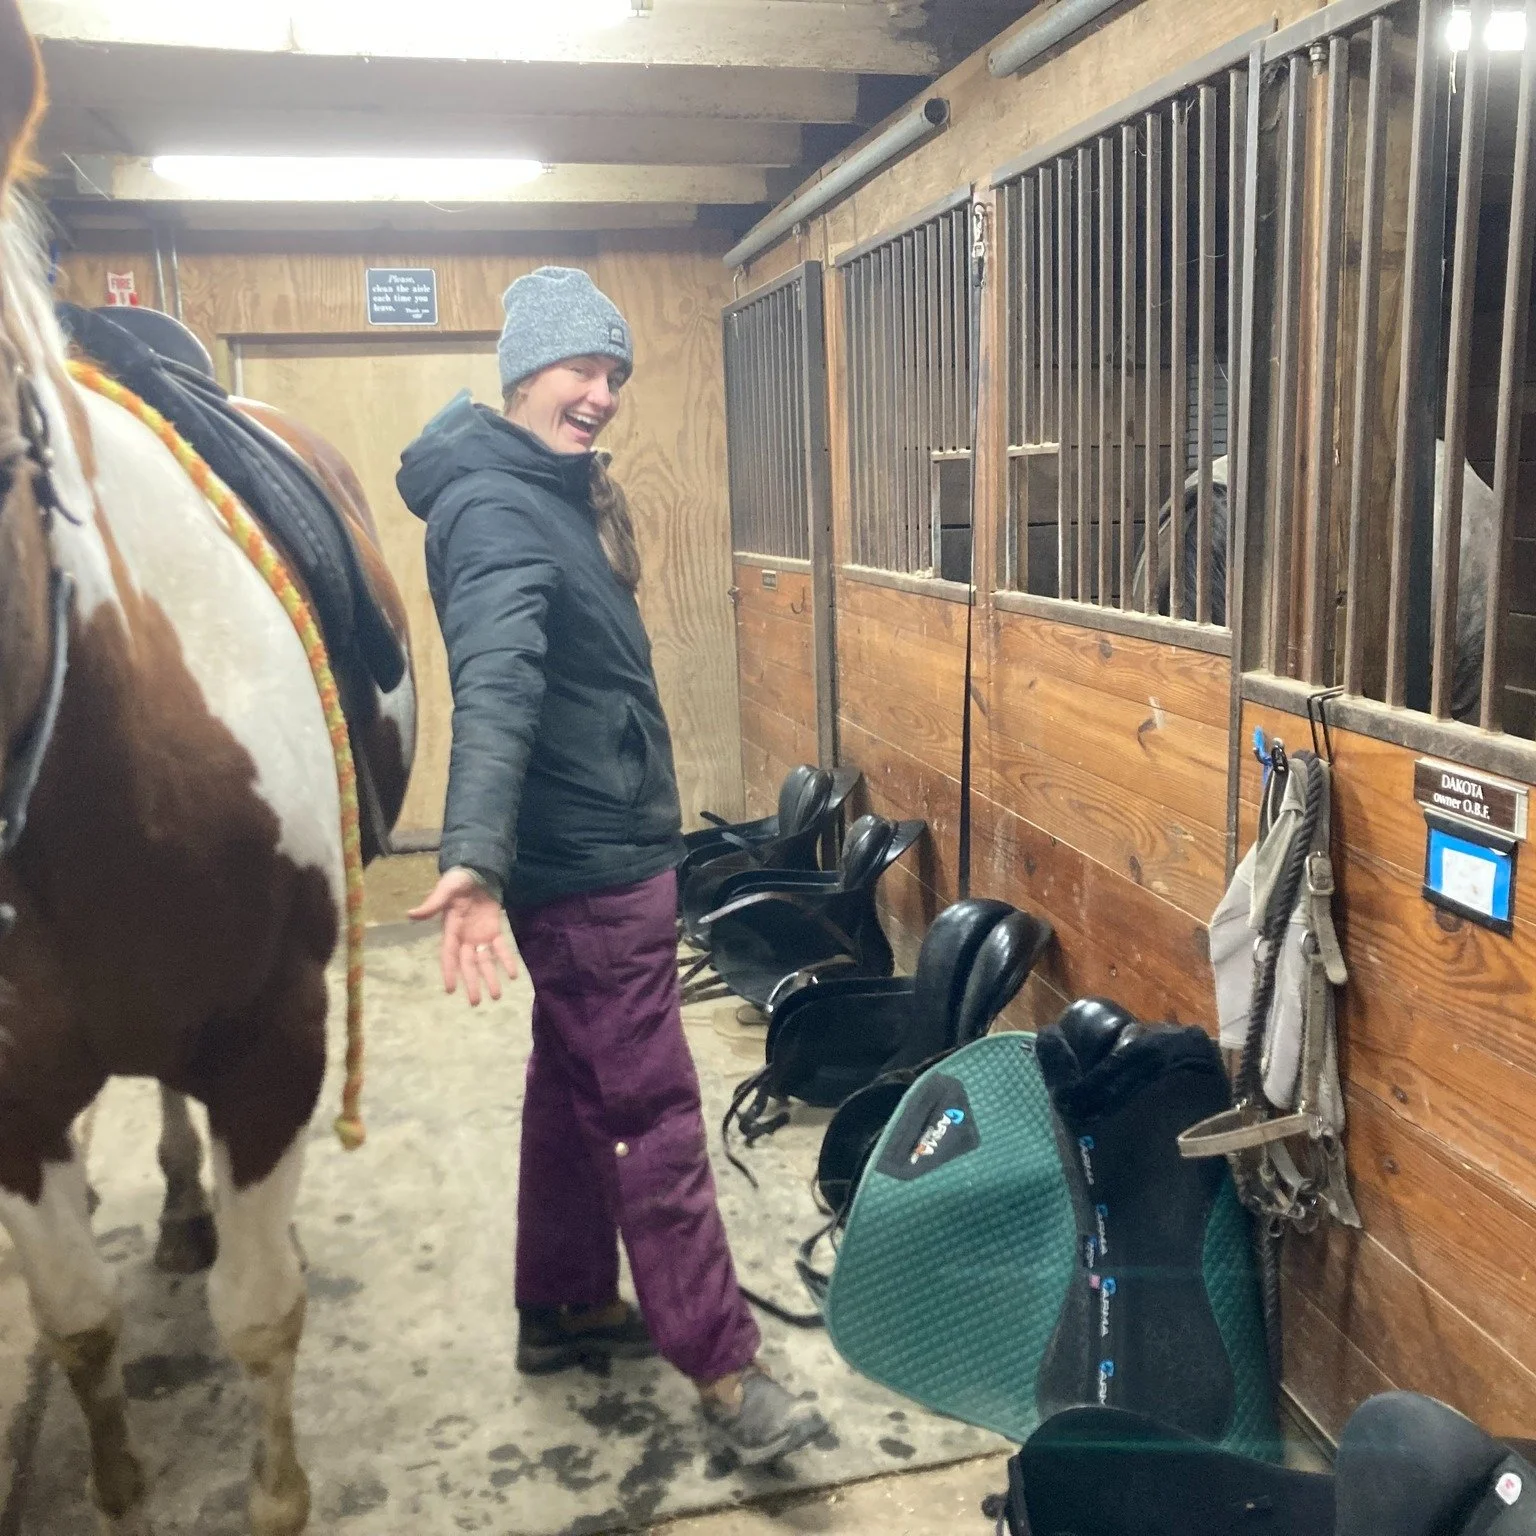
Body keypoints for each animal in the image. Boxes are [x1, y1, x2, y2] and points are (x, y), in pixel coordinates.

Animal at [0, 7, 414, 1533]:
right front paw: (119, 1487)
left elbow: (261, 1313)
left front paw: (275, 1494)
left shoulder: (271, 1043)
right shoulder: (15, 1096)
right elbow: (74, 1325)